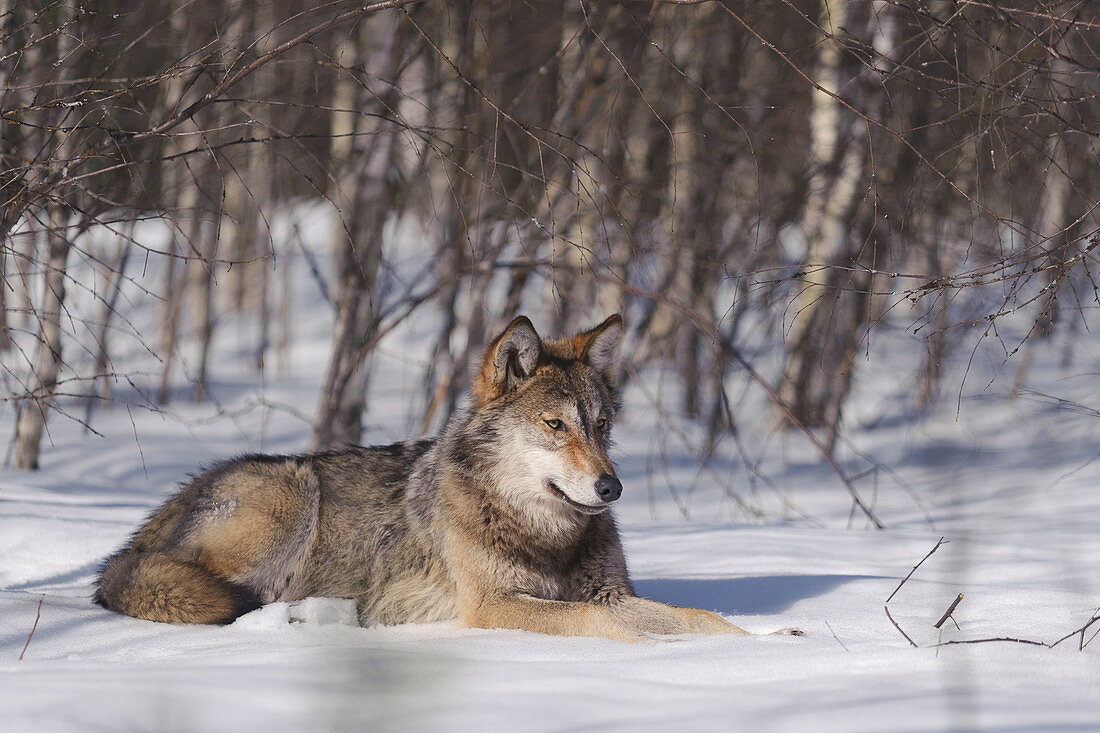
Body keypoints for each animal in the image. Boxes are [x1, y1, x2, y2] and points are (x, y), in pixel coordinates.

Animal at [92, 314, 792, 638]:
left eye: (600, 424)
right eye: (554, 425)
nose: (611, 488)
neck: (545, 534)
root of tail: (143, 530)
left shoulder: (607, 593)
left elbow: (698, 616)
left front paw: (765, 639)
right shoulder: (496, 605)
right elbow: (608, 629)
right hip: (289, 497)